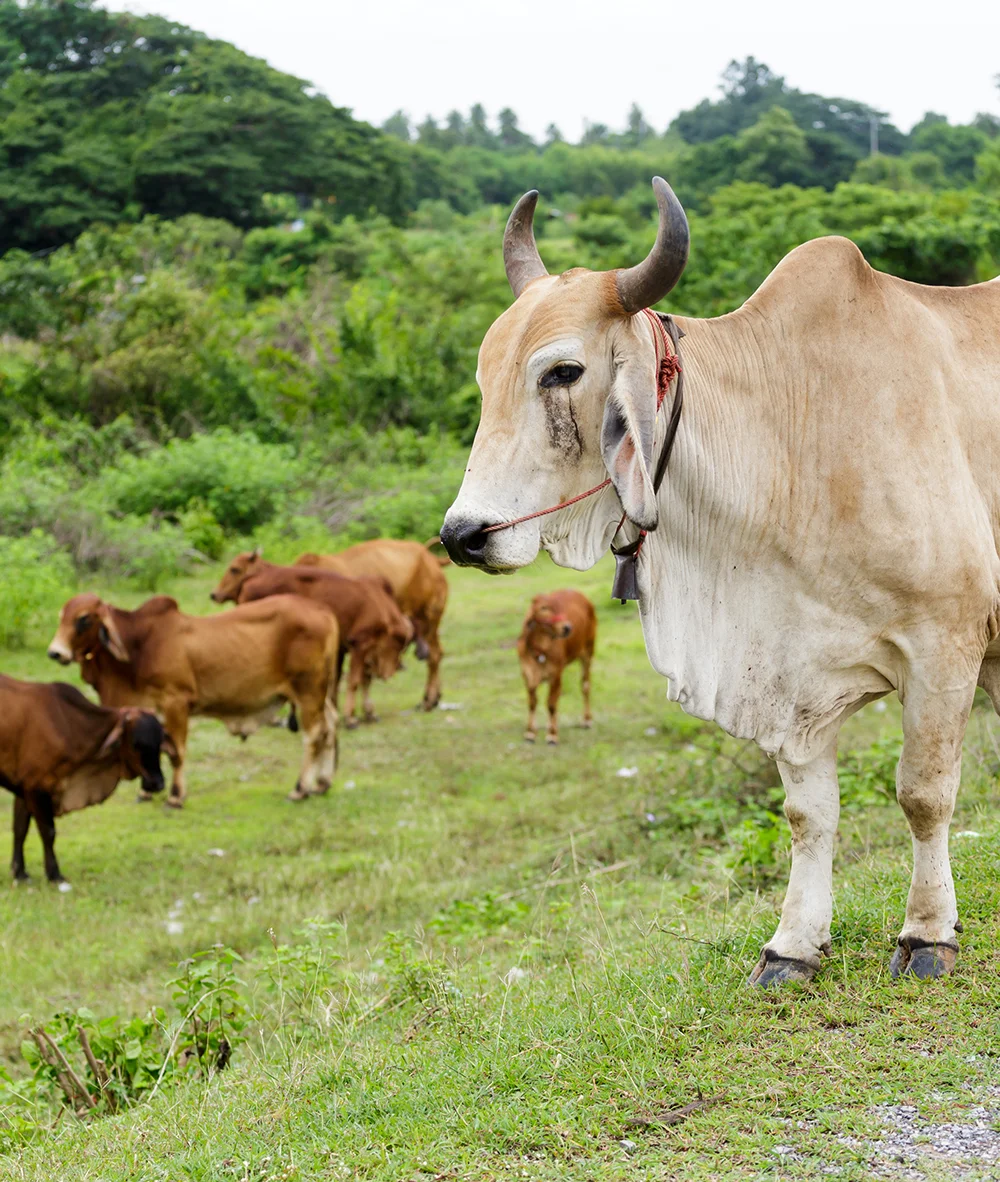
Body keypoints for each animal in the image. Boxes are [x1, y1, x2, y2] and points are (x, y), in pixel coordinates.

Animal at [0, 674, 174, 882]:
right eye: (136, 744)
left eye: (159, 742)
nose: (157, 783)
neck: (71, 726)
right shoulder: (37, 787)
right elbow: (48, 832)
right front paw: (54, 874)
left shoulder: (23, 787)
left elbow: (20, 829)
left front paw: (19, 872)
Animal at [48, 593, 339, 806]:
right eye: (61, 616)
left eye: (84, 618)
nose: (55, 652)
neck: (139, 645)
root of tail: (323, 611)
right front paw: (146, 792)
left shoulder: (176, 702)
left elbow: (176, 752)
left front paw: (176, 796)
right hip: (318, 693)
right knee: (331, 725)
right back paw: (323, 783)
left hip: (307, 691)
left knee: (314, 734)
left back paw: (300, 788)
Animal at [210, 553, 412, 727]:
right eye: (400, 644)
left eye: (234, 569)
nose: (394, 669)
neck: (380, 606)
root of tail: (251, 580)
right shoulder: (359, 645)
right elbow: (354, 681)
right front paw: (350, 718)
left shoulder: (343, 650)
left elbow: (349, 680)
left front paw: (365, 712)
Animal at [295, 539, 449, 710]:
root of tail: (431, 558)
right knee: (437, 653)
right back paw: (433, 698)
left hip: (429, 621)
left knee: (434, 655)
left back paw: (429, 700)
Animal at [517, 590, 596, 744]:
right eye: (543, 608)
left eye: (560, 607)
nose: (567, 628)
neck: (540, 651)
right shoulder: (527, 675)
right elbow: (532, 703)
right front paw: (530, 732)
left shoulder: (556, 675)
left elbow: (551, 704)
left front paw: (552, 734)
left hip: (588, 652)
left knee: (585, 686)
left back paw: (586, 720)